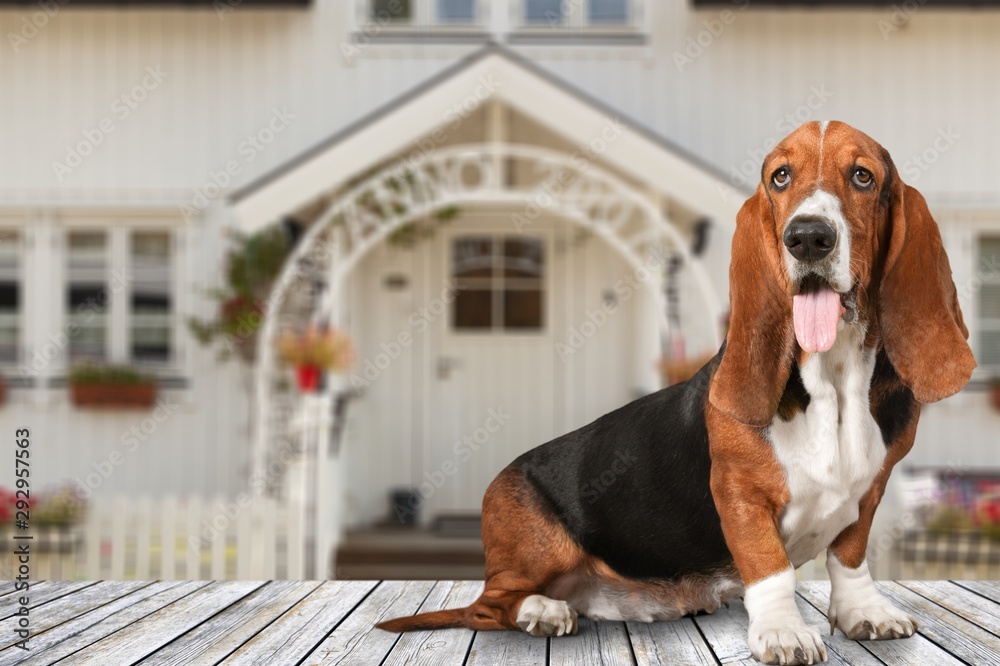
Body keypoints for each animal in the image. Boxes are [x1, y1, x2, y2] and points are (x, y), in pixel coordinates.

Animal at [376, 122, 976, 660]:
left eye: (862, 176)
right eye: (780, 177)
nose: (808, 237)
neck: (833, 379)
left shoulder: (870, 489)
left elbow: (848, 559)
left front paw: (862, 612)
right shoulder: (739, 495)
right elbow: (771, 568)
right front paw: (783, 632)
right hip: (536, 551)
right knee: (490, 604)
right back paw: (542, 611)